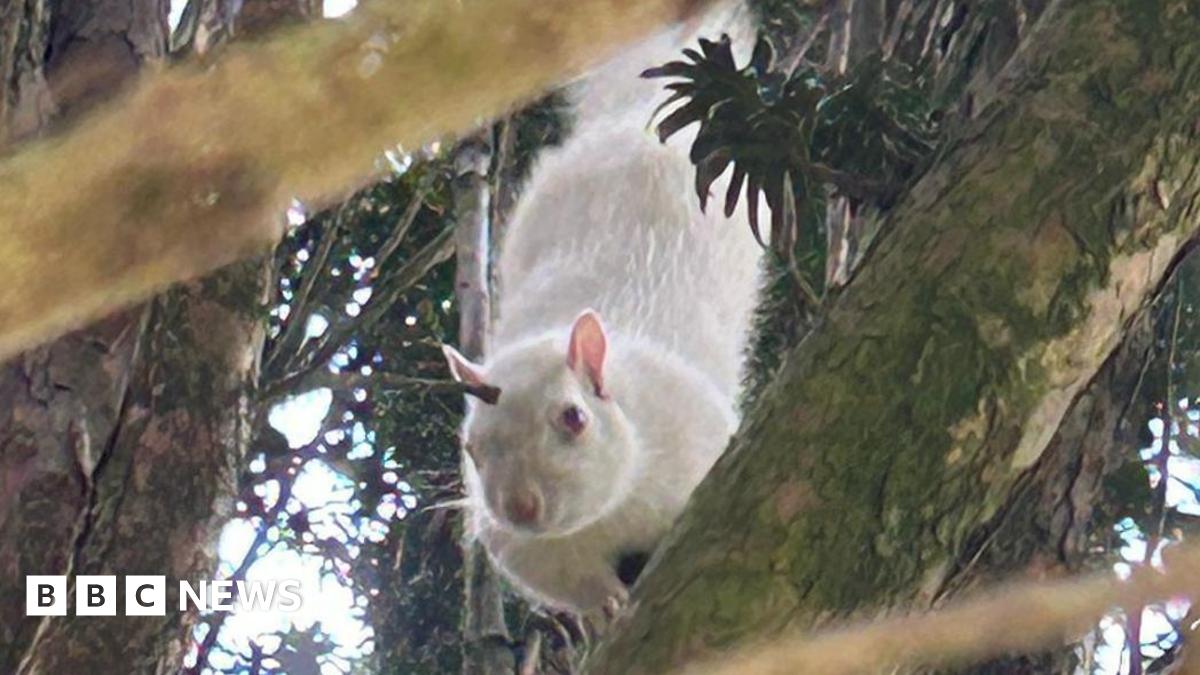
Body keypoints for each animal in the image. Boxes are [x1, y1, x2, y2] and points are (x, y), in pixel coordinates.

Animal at [442, 1, 761, 614]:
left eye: (574, 417)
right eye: (471, 446)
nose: (520, 507)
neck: (612, 510)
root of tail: (632, 120)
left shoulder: (695, 443)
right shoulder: (529, 549)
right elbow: (562, 575)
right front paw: (604, 604)